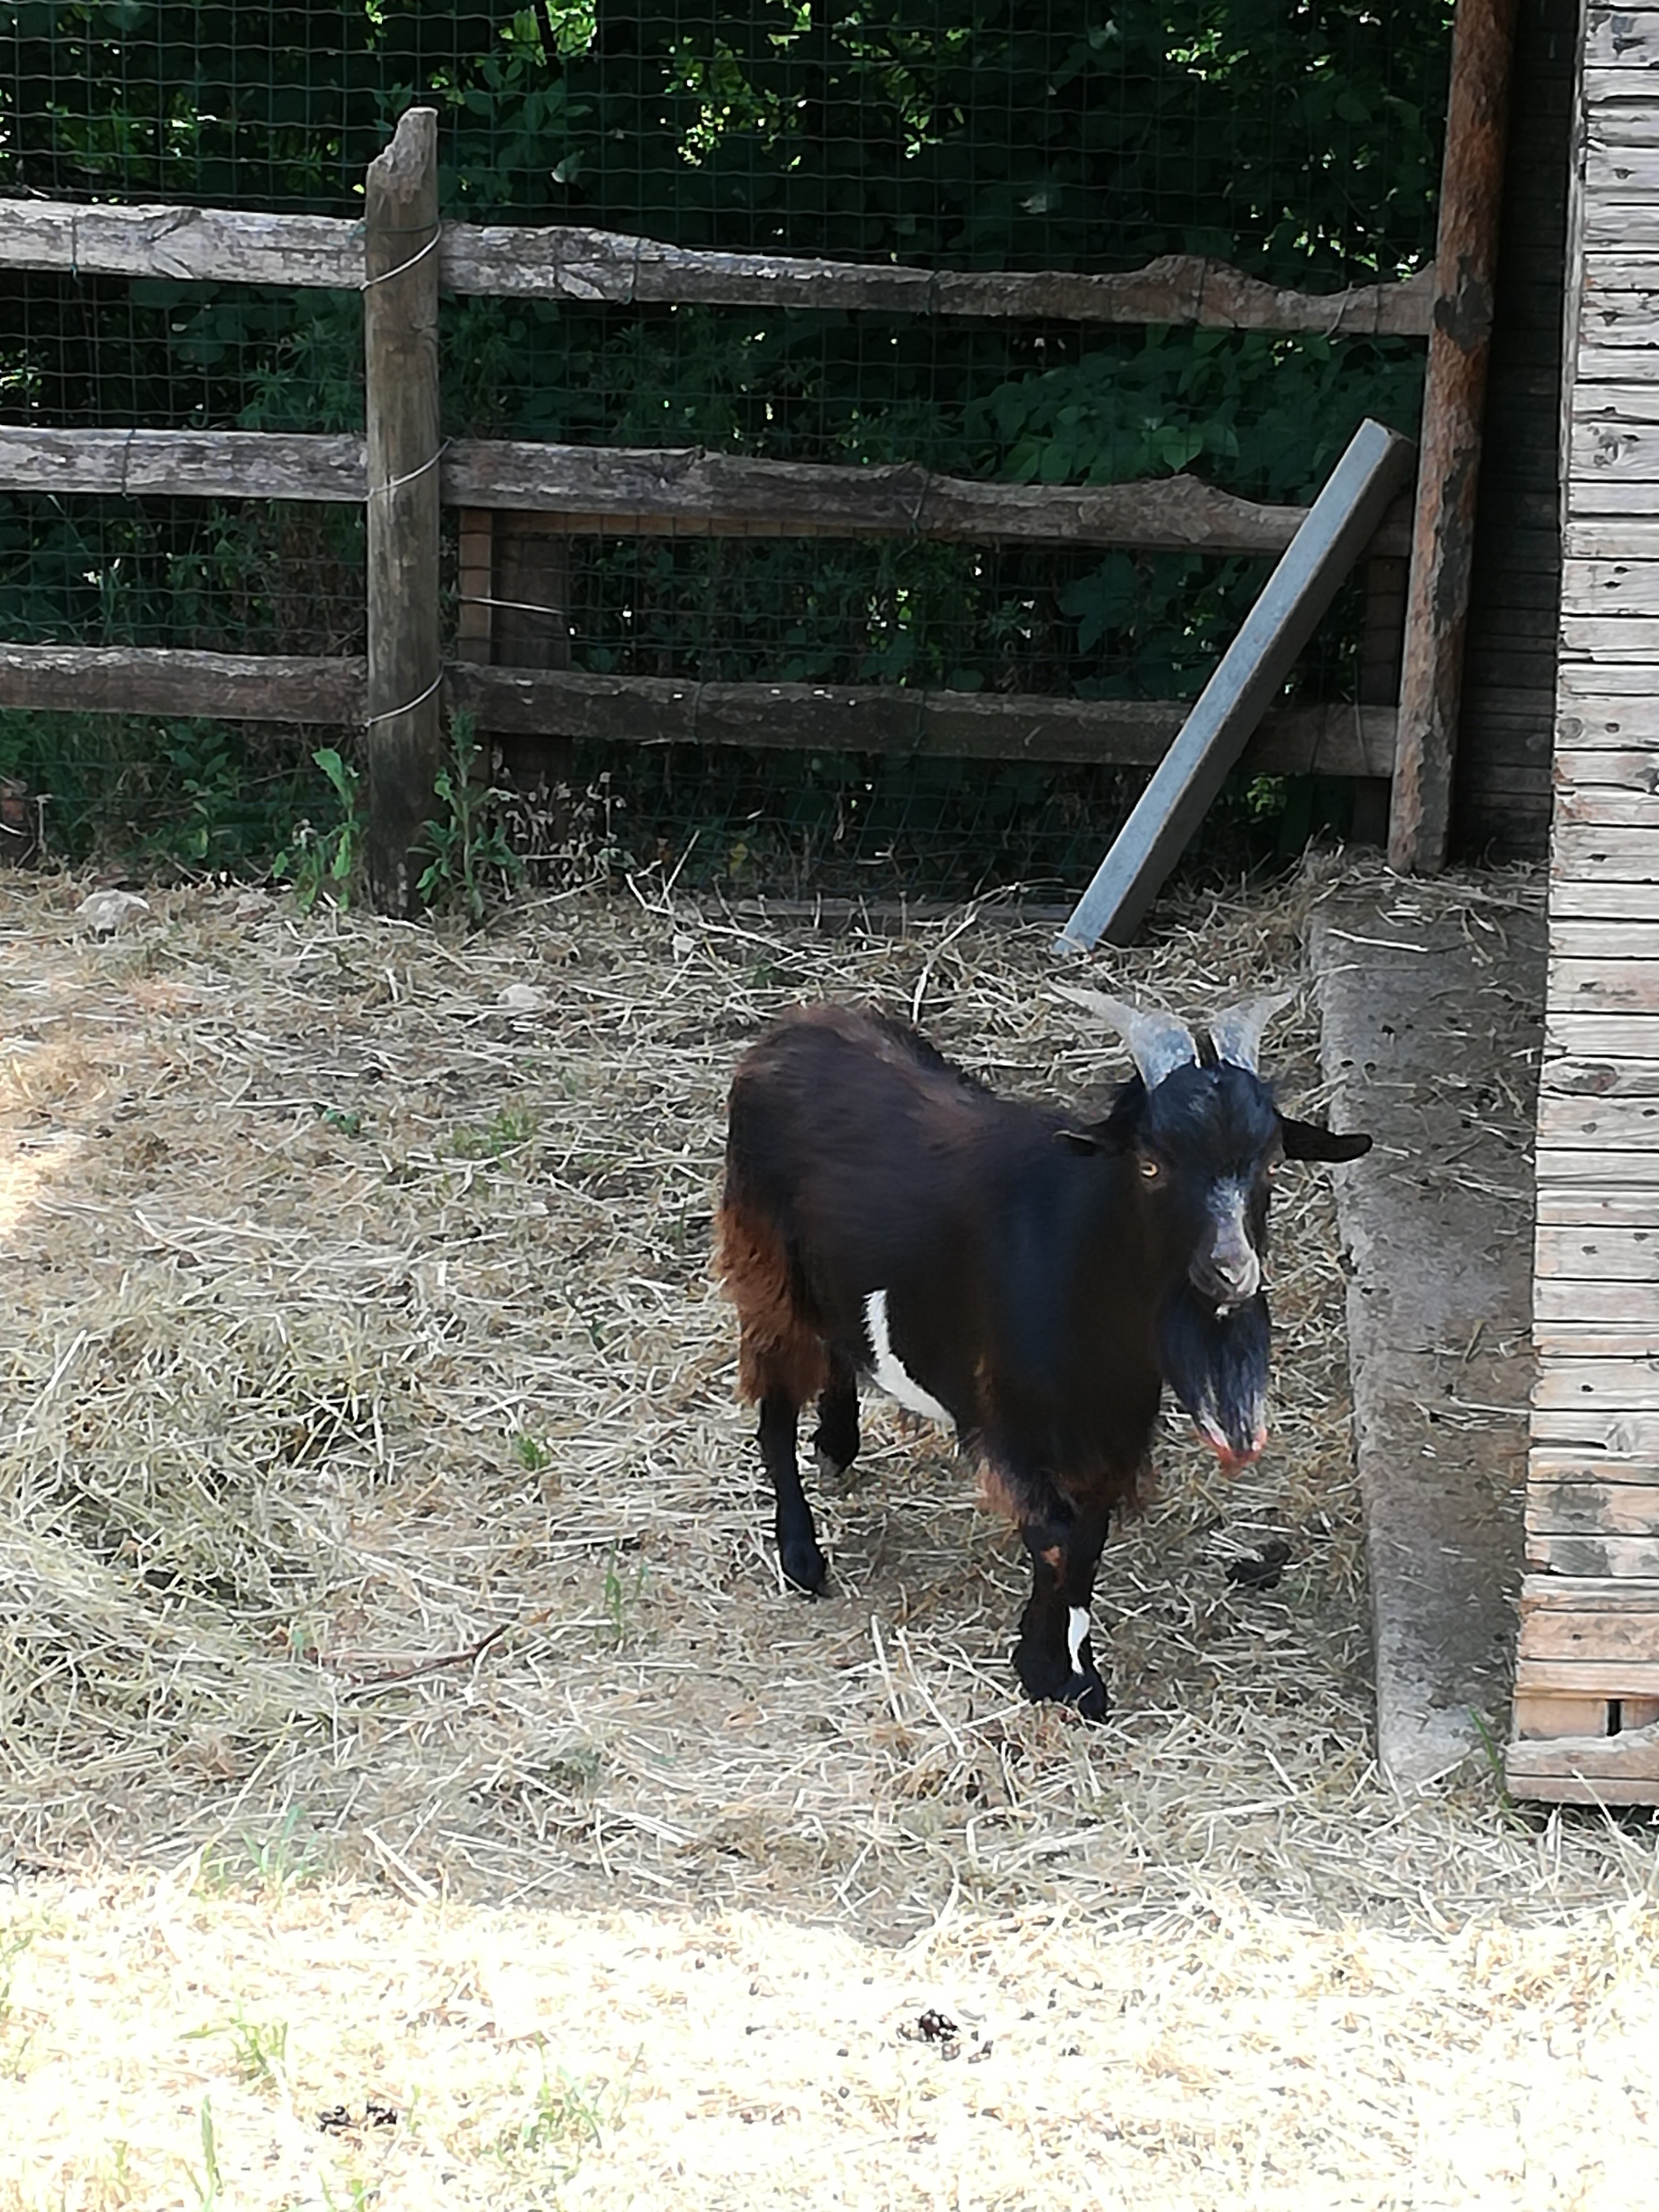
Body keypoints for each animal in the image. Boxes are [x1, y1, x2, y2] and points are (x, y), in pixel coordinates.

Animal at [721, 995, 1371, 1716]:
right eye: (1150, 1163)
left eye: (1273, 1162)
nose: (1231, 1271)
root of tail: (793, 1030)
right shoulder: (1010, 1427)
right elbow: (1057, 1539)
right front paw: (1050, 1670)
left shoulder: (1110, 1433)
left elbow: (1087, 1543)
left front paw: (1073, 1672)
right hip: (767, 1270)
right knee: (774, 1407)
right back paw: (801, 1556)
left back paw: (838, 1442)